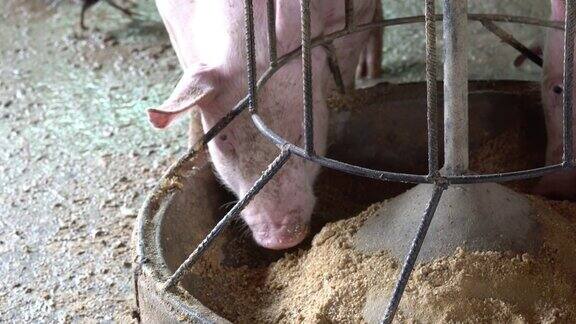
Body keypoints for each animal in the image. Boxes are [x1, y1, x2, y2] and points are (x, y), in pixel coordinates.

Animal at [148, 0, 382, 249]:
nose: (281, 238)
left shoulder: (356, 15)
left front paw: (343, 96)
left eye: (301, 135)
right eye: (224, 141)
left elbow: (343, 68)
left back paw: (370, 72)